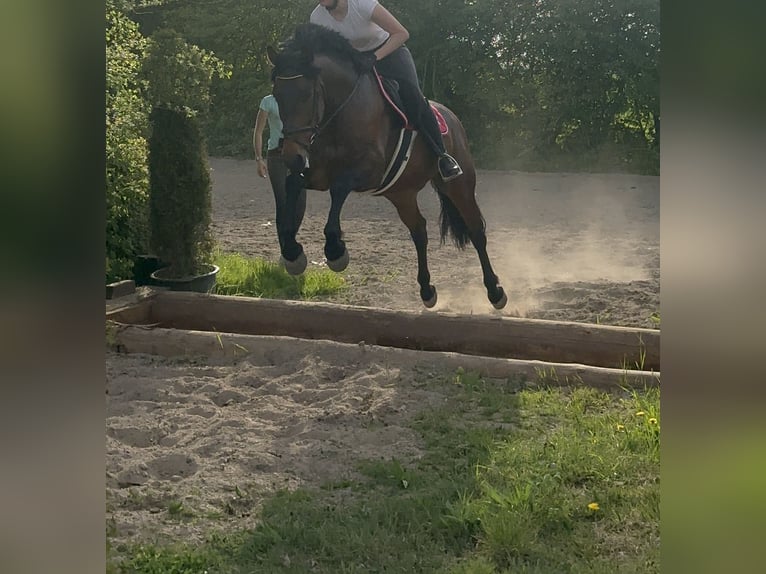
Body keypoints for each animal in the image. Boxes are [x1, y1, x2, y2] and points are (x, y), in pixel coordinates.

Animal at [266, 23, 507, 310]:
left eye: (307, 95)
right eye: (277, 96)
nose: (290, 156)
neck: (340, 111)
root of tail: (450, 116)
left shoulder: (369, 170)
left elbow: (339, 188)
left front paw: (336, 250)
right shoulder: (318, 173)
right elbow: (293, 182)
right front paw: (293, 254)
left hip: (459, 184)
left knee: (475, 230)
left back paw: (495, 291)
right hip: (402, 192)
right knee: (419, 231)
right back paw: (427, 290)